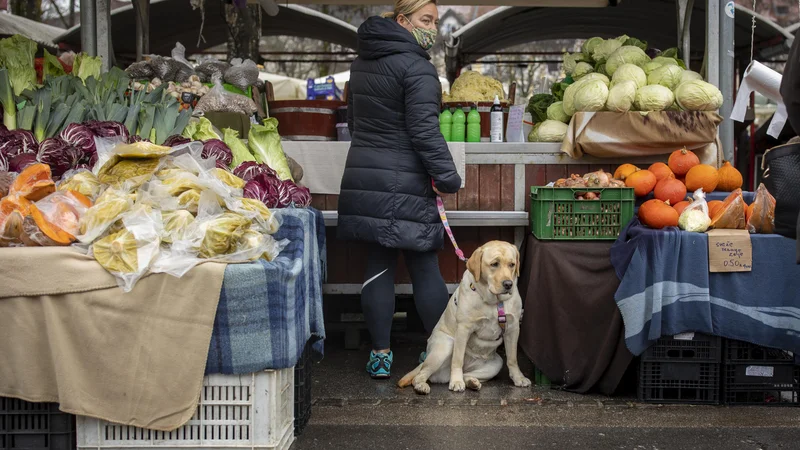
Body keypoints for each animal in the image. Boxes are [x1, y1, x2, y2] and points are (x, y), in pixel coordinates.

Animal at [396, 243, 532, 394]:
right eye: (494, 264)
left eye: (512, 264)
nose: (508, 284)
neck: (494, 301)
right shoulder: (463, 328)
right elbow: (457, 359)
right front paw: (456, 381)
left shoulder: (513, 328)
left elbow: (513, 359)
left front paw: (519, 378)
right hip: (445, 346)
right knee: (421, 374)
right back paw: (422, 385)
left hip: (496, 364)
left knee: (467, 374)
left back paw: (472, 382)